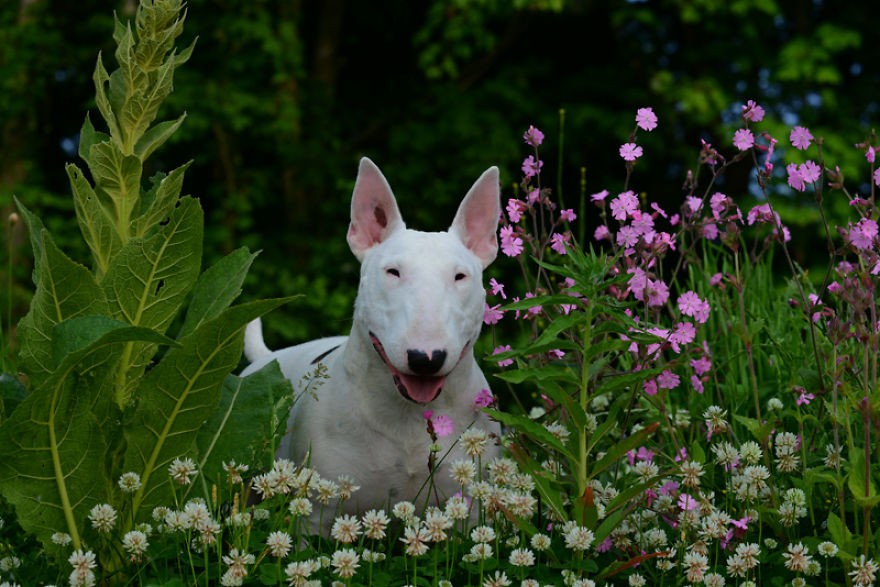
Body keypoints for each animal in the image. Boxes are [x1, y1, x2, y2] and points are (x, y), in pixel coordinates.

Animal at [241, 156, 502, 524]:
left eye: (460, 276)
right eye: (393, 272)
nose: (426, 358)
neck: (408, 415)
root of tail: (266, 357)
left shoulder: (474, 507)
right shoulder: (318, 515)